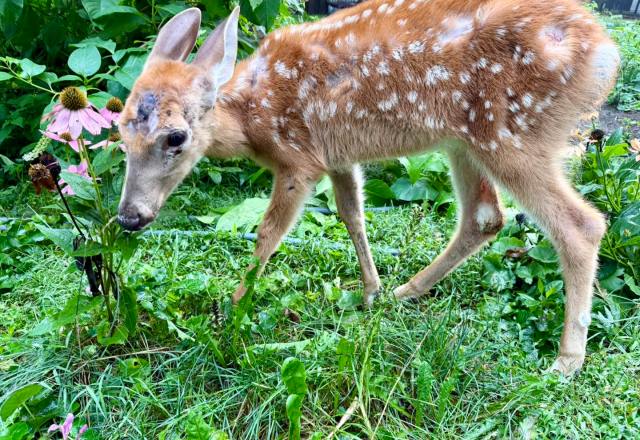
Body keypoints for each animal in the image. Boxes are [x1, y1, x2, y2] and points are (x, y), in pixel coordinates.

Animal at [116, 0, 620, 375]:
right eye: (121, 128)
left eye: (176, 137)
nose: (129, 216)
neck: (252, 115)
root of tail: (604, 50)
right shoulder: (336, 156)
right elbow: (351, 213)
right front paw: (371, 291)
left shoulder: (298, 159)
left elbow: (268, 232)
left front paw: (232, 311)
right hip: (466, 140)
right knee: (484, 217)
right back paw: (404, 292)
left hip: (513, 131)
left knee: (581, 225)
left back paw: (567, 361)